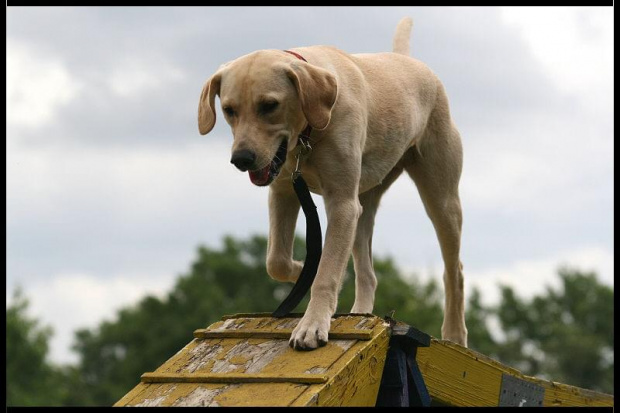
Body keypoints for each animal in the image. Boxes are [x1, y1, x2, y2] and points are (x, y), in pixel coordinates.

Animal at [196, 17, 468, 350]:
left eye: (269, 105)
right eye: (229, 110)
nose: (241, 159)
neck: (308, 130)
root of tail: (409, 61)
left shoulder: (341, 203)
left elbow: (326, 271)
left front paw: (312, 325)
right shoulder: (283, 191)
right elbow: (276, 261)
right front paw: (303, 271)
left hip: (441, 199)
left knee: (454, 273)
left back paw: (454, 334)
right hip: (363, 206)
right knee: (368, 273)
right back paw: (360, 311)